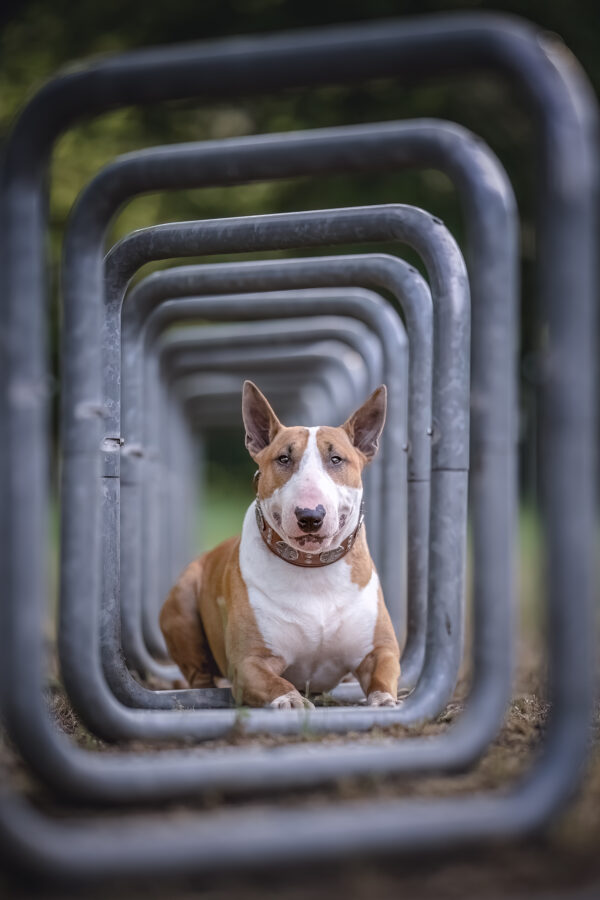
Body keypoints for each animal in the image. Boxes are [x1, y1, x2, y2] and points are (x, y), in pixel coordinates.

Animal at [162, 380, 400, 712]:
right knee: (198, 675)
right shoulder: (250, 661)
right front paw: (292, 700)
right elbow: (277, 682)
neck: (313, 568)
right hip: (182, 599)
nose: (310, 516)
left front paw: (384, 701)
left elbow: (383, 674)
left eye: (336, 459)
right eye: (283, 459)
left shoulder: (379, 649)